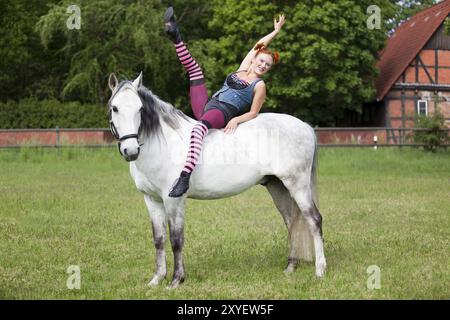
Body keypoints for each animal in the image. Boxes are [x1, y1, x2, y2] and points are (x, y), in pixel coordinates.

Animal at [109, 72, 326, 288]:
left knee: (314, 220)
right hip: (277, 186)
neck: (164, 144)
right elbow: (159, 239)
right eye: (115, 108)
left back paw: (320, 270)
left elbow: (176, 239)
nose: (130, 150)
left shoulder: (173, 200)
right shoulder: (151, 199)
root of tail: (304, 126)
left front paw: (176, 280)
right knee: (292, 222)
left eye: (140, 108)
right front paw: (156, 279)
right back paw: (290, 266)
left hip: (297, 185)